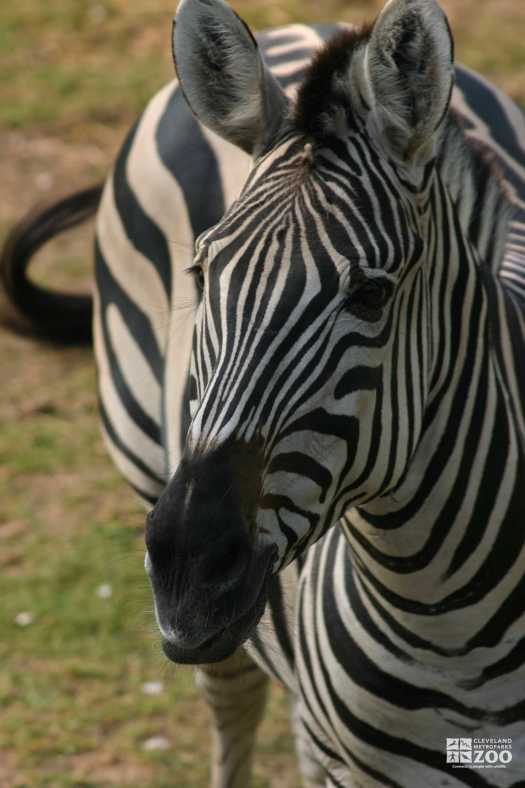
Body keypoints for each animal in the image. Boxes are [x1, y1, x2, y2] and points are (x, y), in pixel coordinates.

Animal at [2, 1, 520, 788]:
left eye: (371, 296)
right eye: (202, 275)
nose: (188, 570)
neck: (449, 621)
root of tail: (297, 27)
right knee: (235, 705)